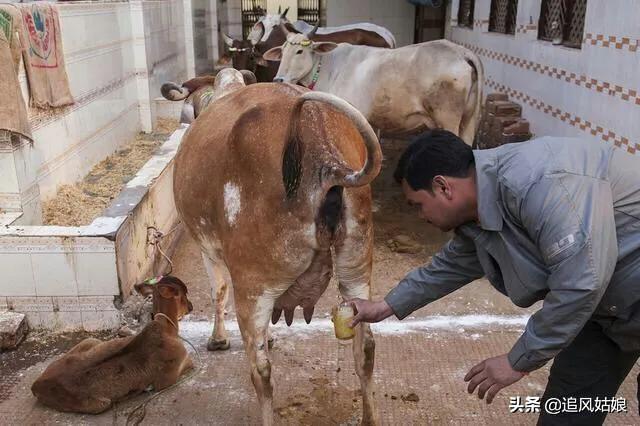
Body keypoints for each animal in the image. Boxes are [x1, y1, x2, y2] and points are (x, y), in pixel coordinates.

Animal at [31, 276, 194, 412]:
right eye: (184, 293)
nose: (191, 306)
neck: (167, 329)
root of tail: (36, 385)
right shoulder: (168, 378)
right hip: (100, 405)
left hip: (90, 341)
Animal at [172, 70, 382, 422]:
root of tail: (323, 154)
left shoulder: (208, 249)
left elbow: (218, 291)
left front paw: (218, 339)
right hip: (356, 270)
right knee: (365, 349)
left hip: (253, 286)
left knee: (262, 373)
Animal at [264, 32, 480, 145]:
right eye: (282, 51)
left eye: (300, 51)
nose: (279, 79)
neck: (328, 67)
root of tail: (461, 52)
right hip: (468, 121)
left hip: (448, 118)